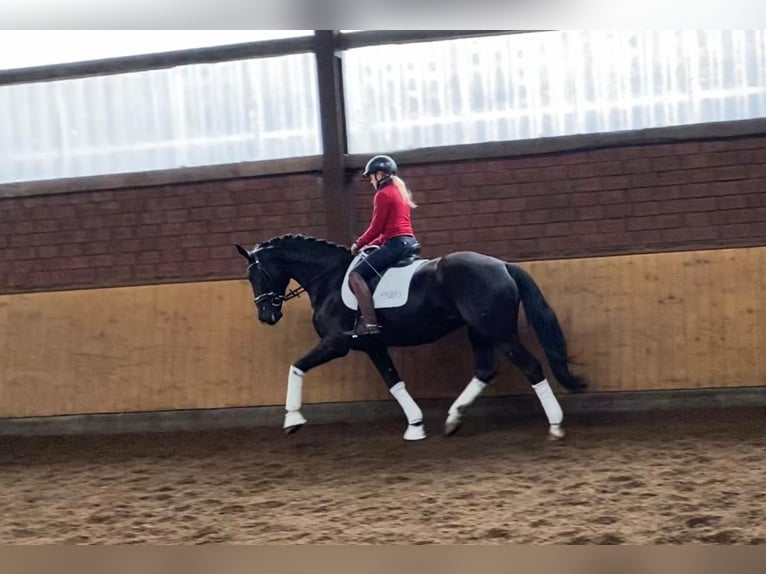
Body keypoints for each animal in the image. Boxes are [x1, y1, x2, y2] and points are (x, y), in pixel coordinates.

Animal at [237, 234, 584, 440]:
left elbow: (296, 367)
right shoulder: (374, 346)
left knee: (531, 367)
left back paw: (555, 424)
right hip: (479, 331)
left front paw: (292, 420)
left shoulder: (336, 344)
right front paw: (415, 426)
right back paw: (453, 418)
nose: (266, 316)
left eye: (256, 275)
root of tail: (503, 265)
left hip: (499, 332)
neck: (330, 280)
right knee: (485, 369)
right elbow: (394, 383)